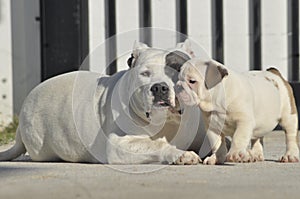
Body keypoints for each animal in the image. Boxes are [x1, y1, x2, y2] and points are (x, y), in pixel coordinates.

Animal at [0, 40, 206, 165]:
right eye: (145, 74)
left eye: (177, 70)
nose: (159, 88)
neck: (169, 122)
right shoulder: (119, 145)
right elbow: (155, 145)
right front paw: (180, 154)